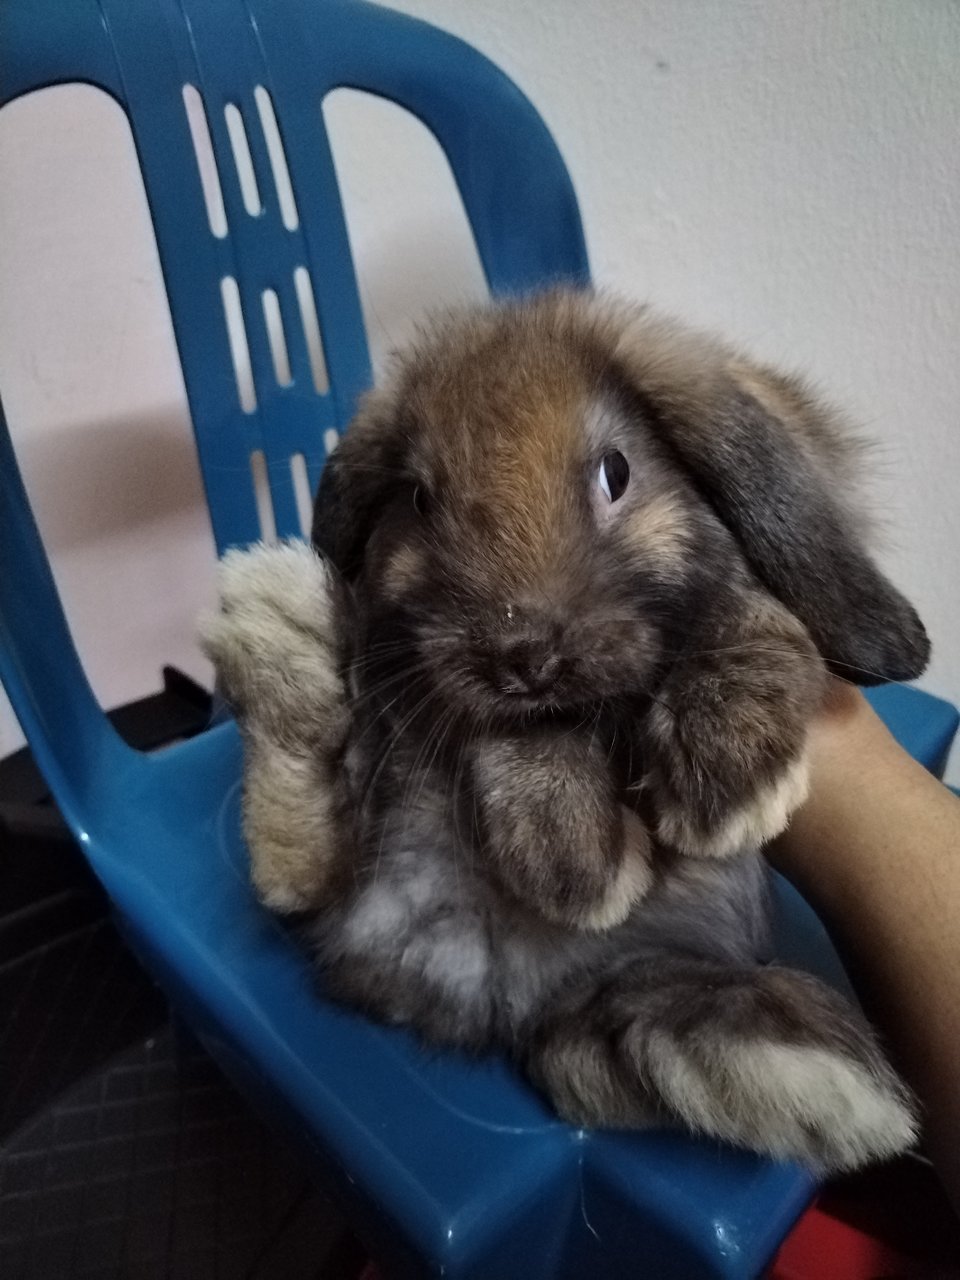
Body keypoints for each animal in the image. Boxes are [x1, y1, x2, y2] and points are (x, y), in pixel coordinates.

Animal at [199, 288, 926, 1172]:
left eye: (616, 473)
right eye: (420, 500)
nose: (523, 656)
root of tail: (493, 998)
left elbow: (743, 604)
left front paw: (727, 776)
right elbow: (507, 733)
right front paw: (572, 856)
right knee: (304, 872)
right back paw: (280, 627)